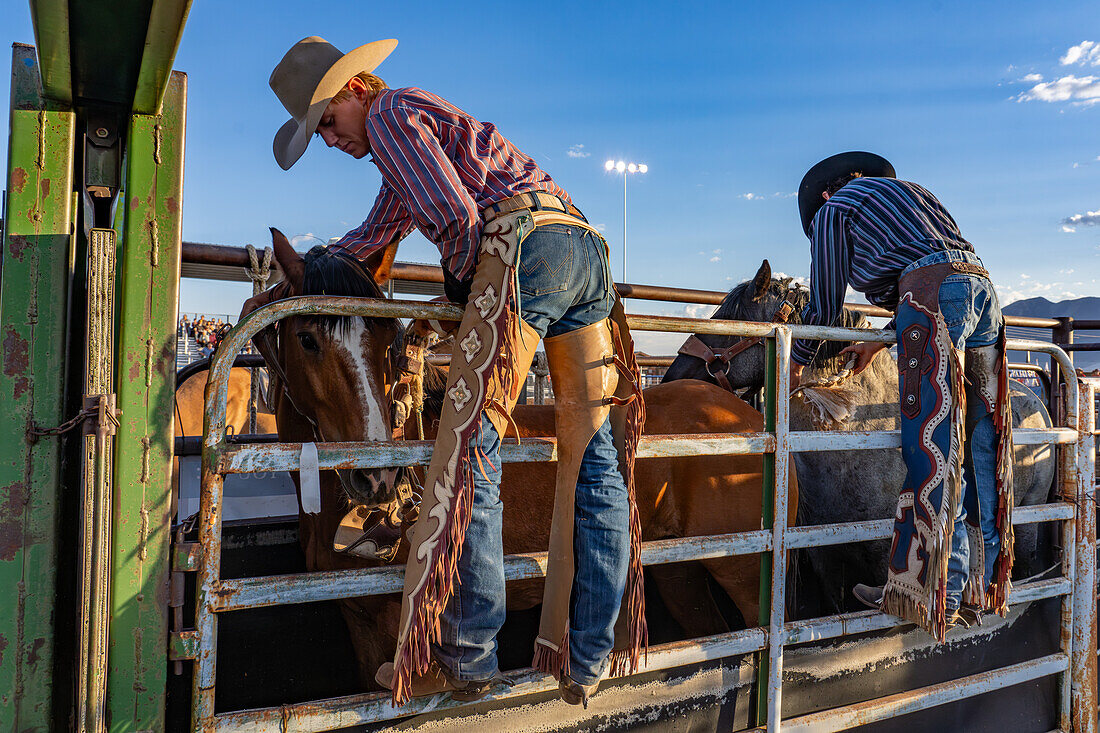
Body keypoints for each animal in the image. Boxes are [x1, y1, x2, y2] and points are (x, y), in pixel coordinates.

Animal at [660, 259, 1056, 611]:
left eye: (726, 322)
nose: (671, 377)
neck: (856, 435)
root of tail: (1032, 396)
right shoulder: (827, 555)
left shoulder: (885, 552)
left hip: (1032, 517)